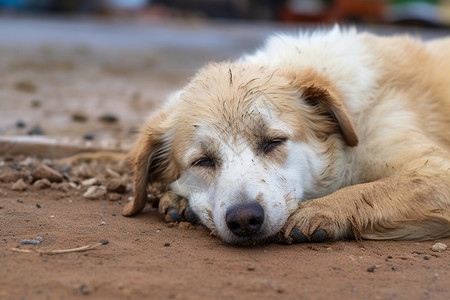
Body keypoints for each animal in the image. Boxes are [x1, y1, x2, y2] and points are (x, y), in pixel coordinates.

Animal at [122, 27, 450, 245]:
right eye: (202, 161)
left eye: (273, 142)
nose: (244, 219)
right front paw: (177, 199)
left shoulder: (438, 171)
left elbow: (369, 189)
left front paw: (323, 210)